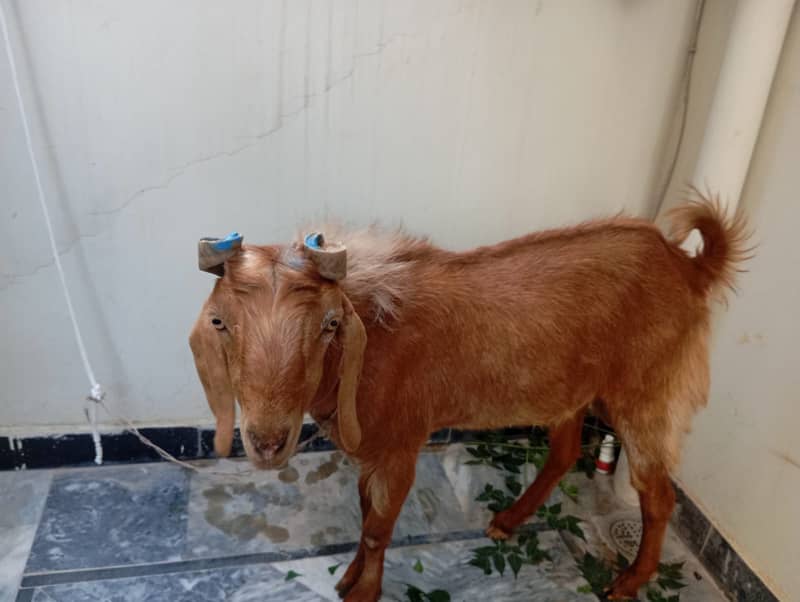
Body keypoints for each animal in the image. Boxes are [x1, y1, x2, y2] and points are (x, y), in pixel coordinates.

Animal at [189, 197, 749, 601]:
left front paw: (362, 592)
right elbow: (365, 517)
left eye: (329, 324)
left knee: (658, 495)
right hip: (568, 389)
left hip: (647, 396)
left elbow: (377, 528)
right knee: (566, 451)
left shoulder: (401, 446)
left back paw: (628, 583)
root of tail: (688, 265)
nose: (266, 442)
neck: (377, 334)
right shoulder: (371, 452)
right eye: (221, 322)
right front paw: (350, 578)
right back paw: (508, 521)